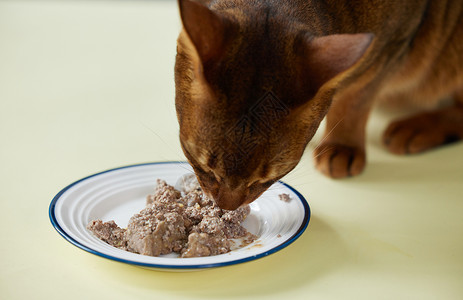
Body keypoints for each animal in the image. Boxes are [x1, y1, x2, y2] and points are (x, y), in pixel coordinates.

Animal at [175, 0, 463, 210]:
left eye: (266, 178)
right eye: (203, 165)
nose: (226, 208)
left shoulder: (392, 46)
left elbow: (355, 102)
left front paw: (341, 146)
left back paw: (417, 128)